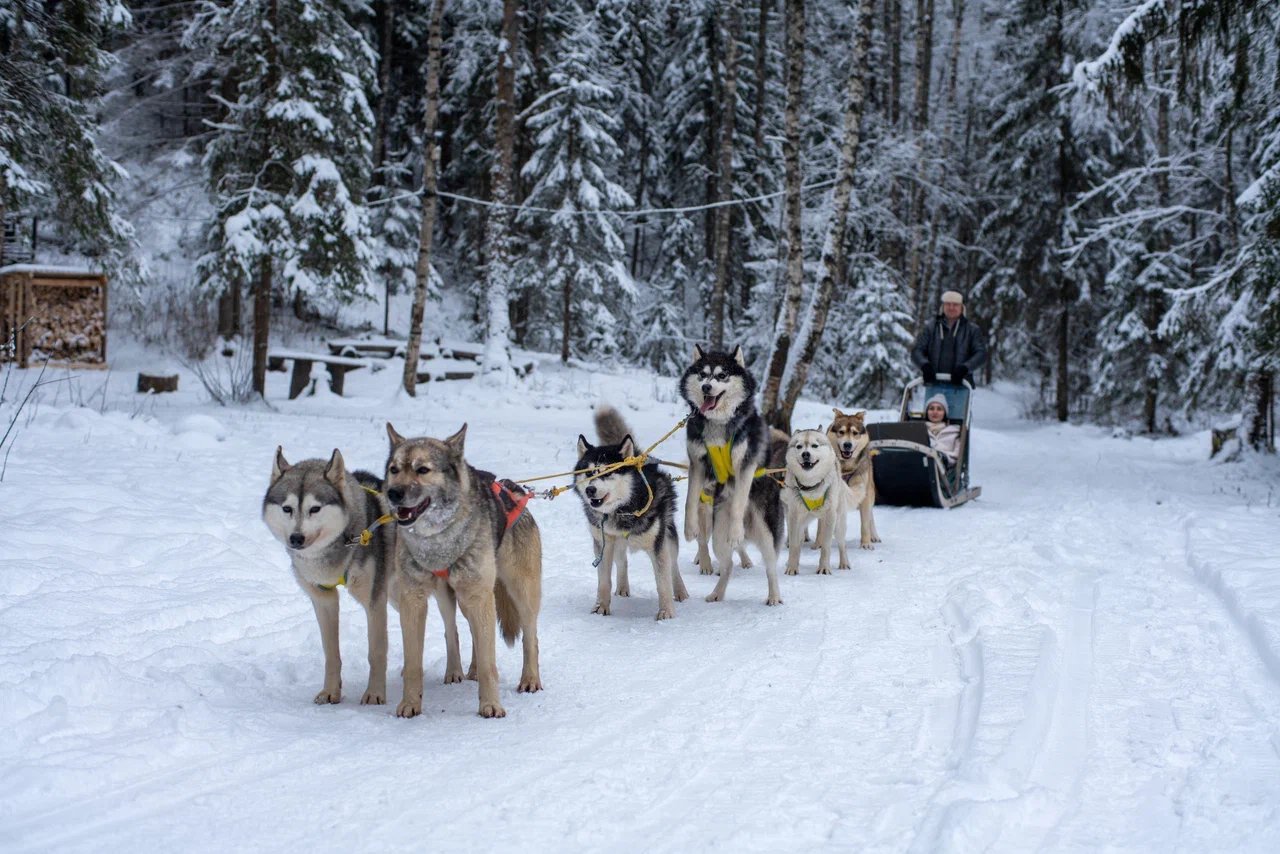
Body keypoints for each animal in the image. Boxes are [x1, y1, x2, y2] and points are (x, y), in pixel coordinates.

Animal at [378, 425, 540, 717]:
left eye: (422, 469)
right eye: (394, 469)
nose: (393, 494)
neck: (438, 541)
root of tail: (516, 491)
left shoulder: (479, 596)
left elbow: (490, 663)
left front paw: (490, 705)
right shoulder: (413, 600)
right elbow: (413, 663)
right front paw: (410, 703)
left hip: (520, 594)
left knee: (529, 637)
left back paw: (530, 679)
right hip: (457, 598)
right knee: (456, 631)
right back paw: (459, 671)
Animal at [829, 409, 880, 550]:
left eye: (855, 433)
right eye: (841, 432)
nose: (847, 444)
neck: (846, 468)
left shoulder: (864, 494)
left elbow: (865, 523)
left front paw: (866, 543)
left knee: (870, 516)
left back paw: (874, 536)